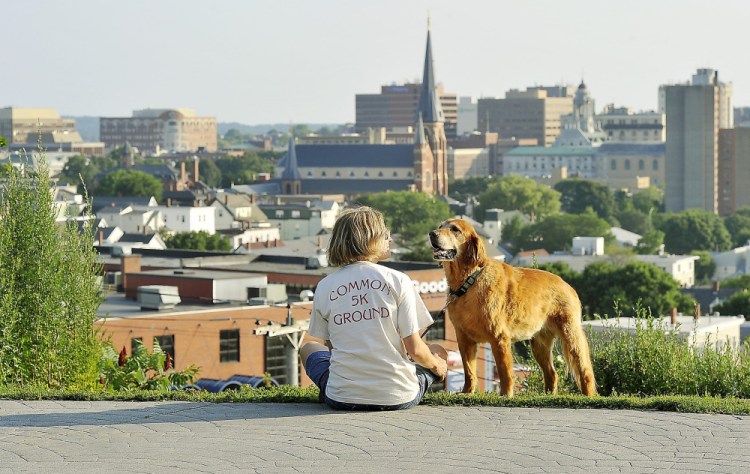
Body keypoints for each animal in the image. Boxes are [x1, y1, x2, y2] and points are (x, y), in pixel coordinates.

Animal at [428, 218, 600, 396]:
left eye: (455, 229)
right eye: (441, 226)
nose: (432, 233)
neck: (468, 281)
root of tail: (567, 285)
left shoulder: (499, 337)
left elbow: (505, 372)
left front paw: (505, 395)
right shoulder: (464, 338)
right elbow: (469, 371)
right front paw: (467, 392)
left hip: (570, 335)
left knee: (585, 371)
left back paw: (588, 395)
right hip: (539, 343)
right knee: (552, 373)